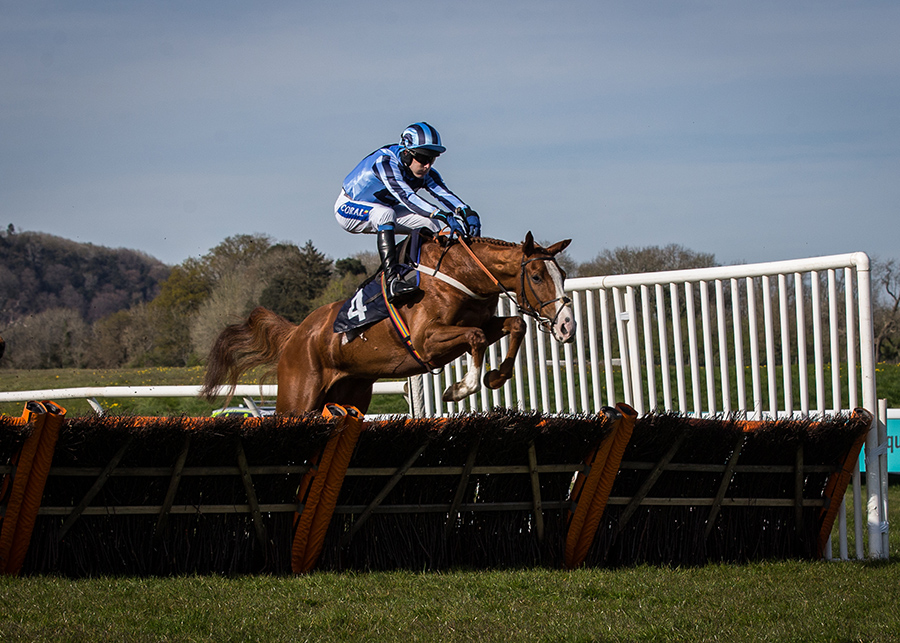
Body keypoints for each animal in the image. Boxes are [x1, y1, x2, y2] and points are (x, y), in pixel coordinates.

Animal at [200, 234, 572, 416]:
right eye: (536, 276)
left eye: (563, 274)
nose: (567, 325)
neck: (462, 275)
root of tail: (296, 334)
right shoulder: (426, 342)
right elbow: (477, 336)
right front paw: (459, 389)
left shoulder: (480, 322)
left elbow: (515, 325)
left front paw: (495, 377)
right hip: (298, 396)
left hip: (350, 393)